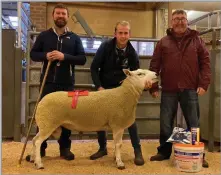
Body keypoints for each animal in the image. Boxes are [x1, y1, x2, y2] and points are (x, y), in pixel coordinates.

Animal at [26, 68, 157, 170]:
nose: (156, 74)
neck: (126, 94)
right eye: (140, 74)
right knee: (38, 142)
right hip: (48, 123)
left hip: (45, 124)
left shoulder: (118, 126)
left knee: (34, 140)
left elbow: (117, 145)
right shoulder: (118, 125)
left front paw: (116, 158)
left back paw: (33, 159)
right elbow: (118, 144)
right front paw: (120, 163)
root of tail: (41, 102)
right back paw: (39, 164)